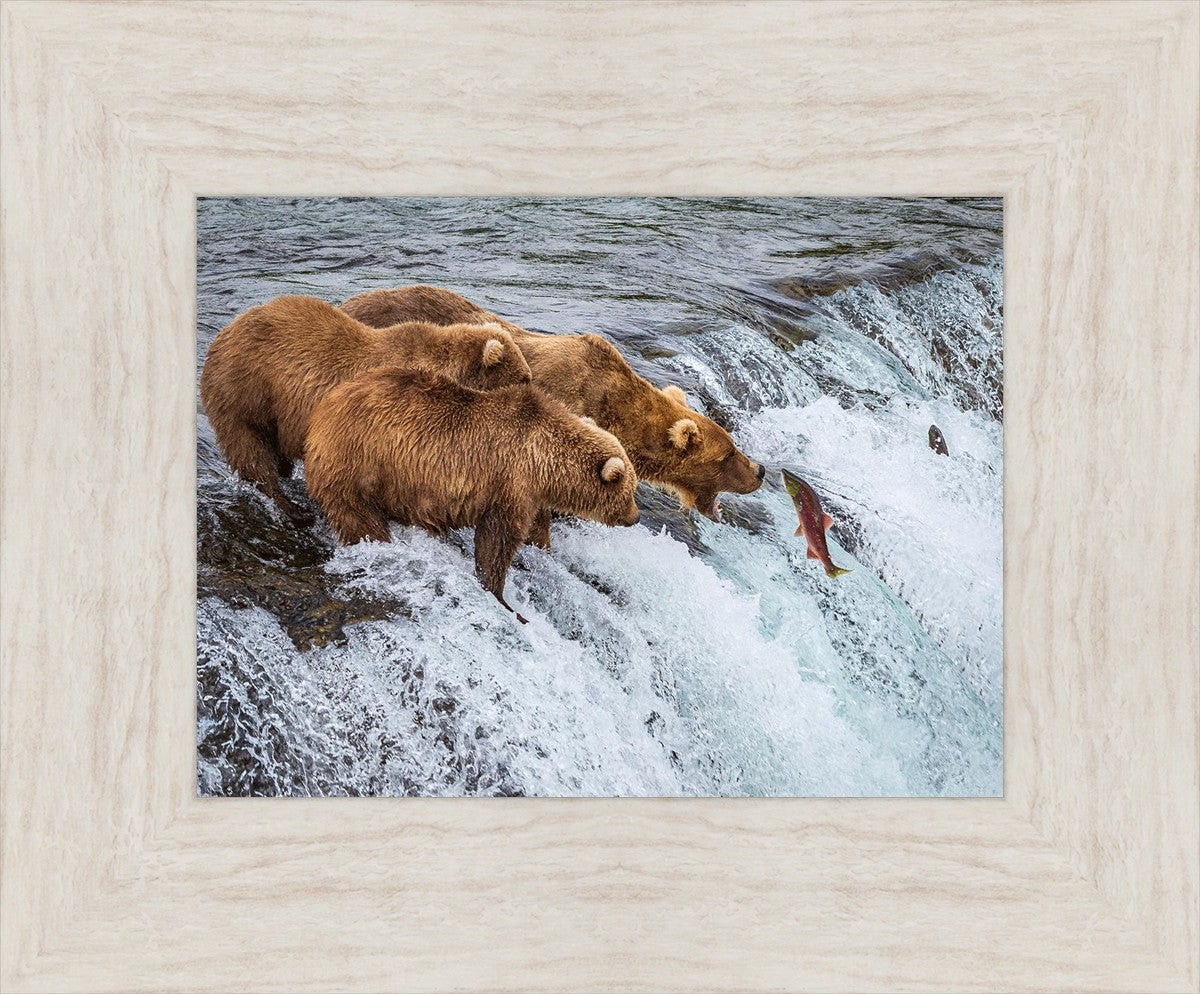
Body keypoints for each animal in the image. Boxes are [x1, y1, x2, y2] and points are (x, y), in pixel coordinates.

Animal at [200, 295, 532, 524]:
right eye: (524, 378)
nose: (533, 393)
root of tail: (223, 333)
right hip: (246, 392)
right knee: (251, 451)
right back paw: (292, 507)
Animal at [303, 367, 641, 621]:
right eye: (629, 491)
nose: (635, 517)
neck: (544, 461)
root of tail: (322, 411)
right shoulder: (510, 482)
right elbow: (497, 540)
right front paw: (502, 597)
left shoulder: (531, 495)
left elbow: (535, 530)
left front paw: (542, 550)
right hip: (359, 463)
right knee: (359, 517)